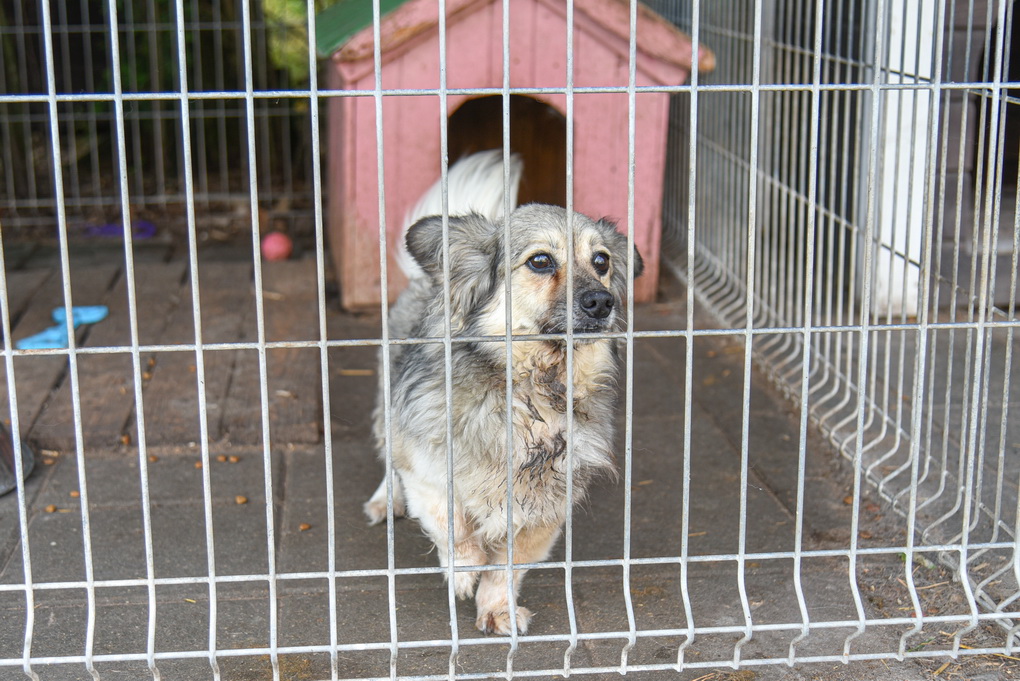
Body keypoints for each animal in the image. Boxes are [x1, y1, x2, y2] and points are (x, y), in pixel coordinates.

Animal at [363, 151, 640, 636]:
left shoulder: (546, 503)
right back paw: (385, 499)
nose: (602, 302)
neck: (534, 387)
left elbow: (510, 564)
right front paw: (464, 569)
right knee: (389, 458)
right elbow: (452, 524)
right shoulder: (427, 469)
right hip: (390, 408)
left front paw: (497, 607)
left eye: (602, 261)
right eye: (541, 261)